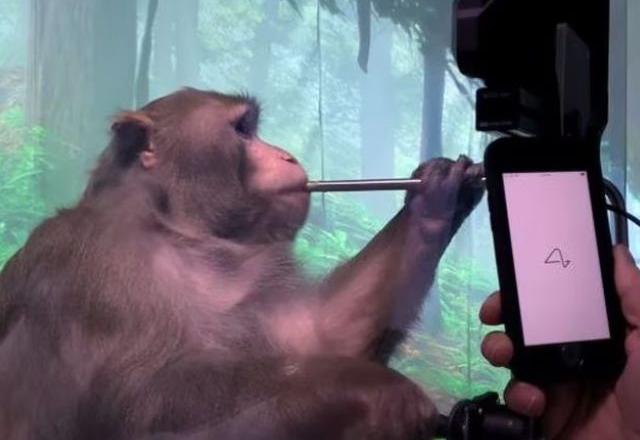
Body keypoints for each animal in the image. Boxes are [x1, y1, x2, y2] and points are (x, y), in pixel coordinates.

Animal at [0, 88, 484, 440]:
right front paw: (369, 390)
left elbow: (323, 335)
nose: (288, 155)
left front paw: (435, 199)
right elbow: (133, 406)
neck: (177, 233)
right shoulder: (98, 269)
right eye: (242, 130)